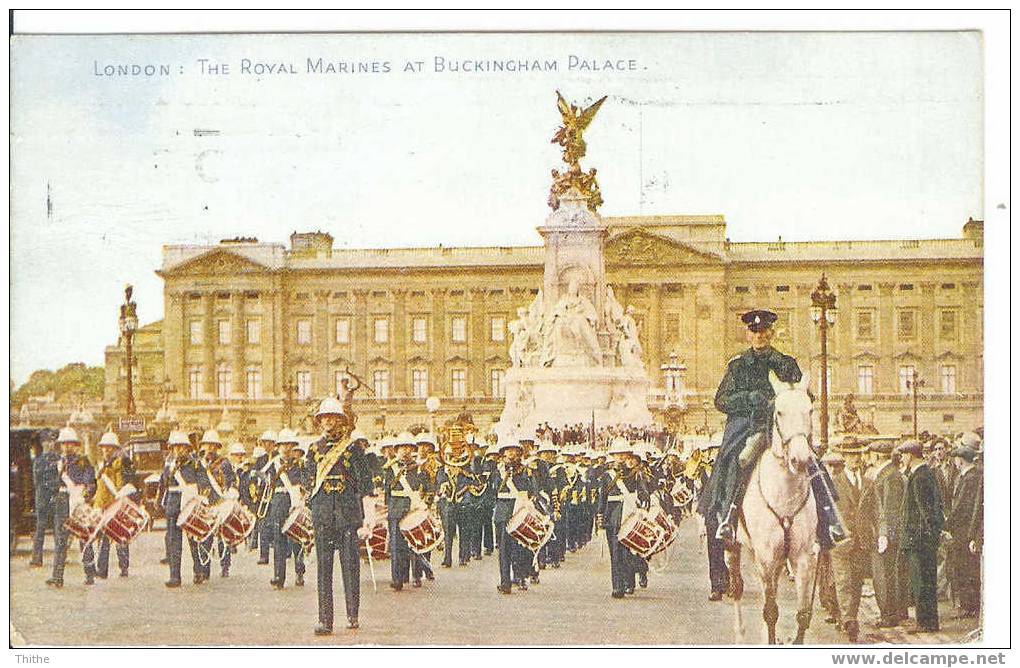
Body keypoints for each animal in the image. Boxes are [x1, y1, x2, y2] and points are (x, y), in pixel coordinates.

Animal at [726, 373, 820, 644]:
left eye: (810, 409)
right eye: (778, 411)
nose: (800, 460)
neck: (785, 494)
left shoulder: (803, 558)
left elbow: (802, 615)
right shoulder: (766, 557)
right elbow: (770, 612)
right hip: (734, 548)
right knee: (737, 588)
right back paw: (740, 634)